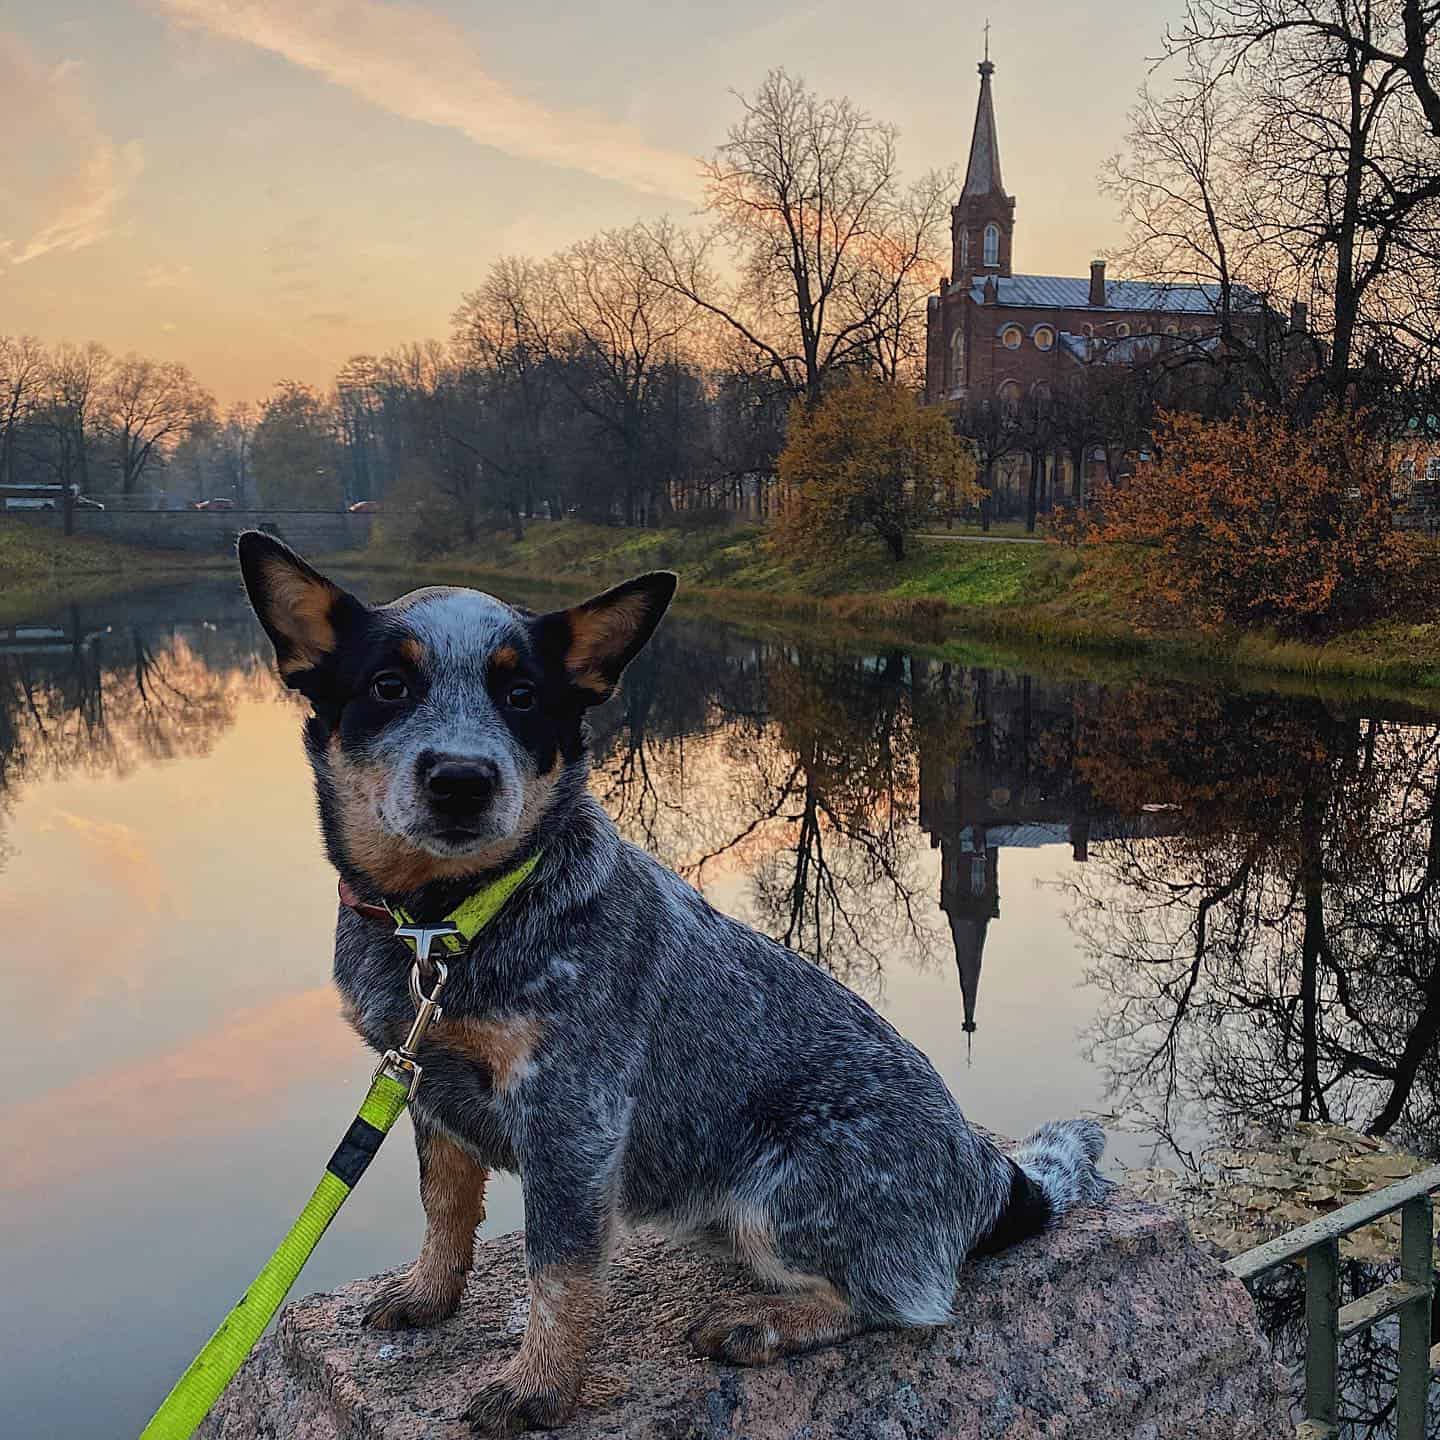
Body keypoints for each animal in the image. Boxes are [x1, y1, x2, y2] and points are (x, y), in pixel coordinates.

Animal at [239, 535, 1111, 1434]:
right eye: (388, 685)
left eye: (522, 694)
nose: (461, 778)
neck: (449, 922)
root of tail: (994, 1178)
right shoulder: (425, 1086)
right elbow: (443, 1208)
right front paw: (428, 1293)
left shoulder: (573, 1119)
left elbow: (559, 1273)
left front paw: (540, 1385)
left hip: (785, 1187)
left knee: (905, 1302)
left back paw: (766, 1321)